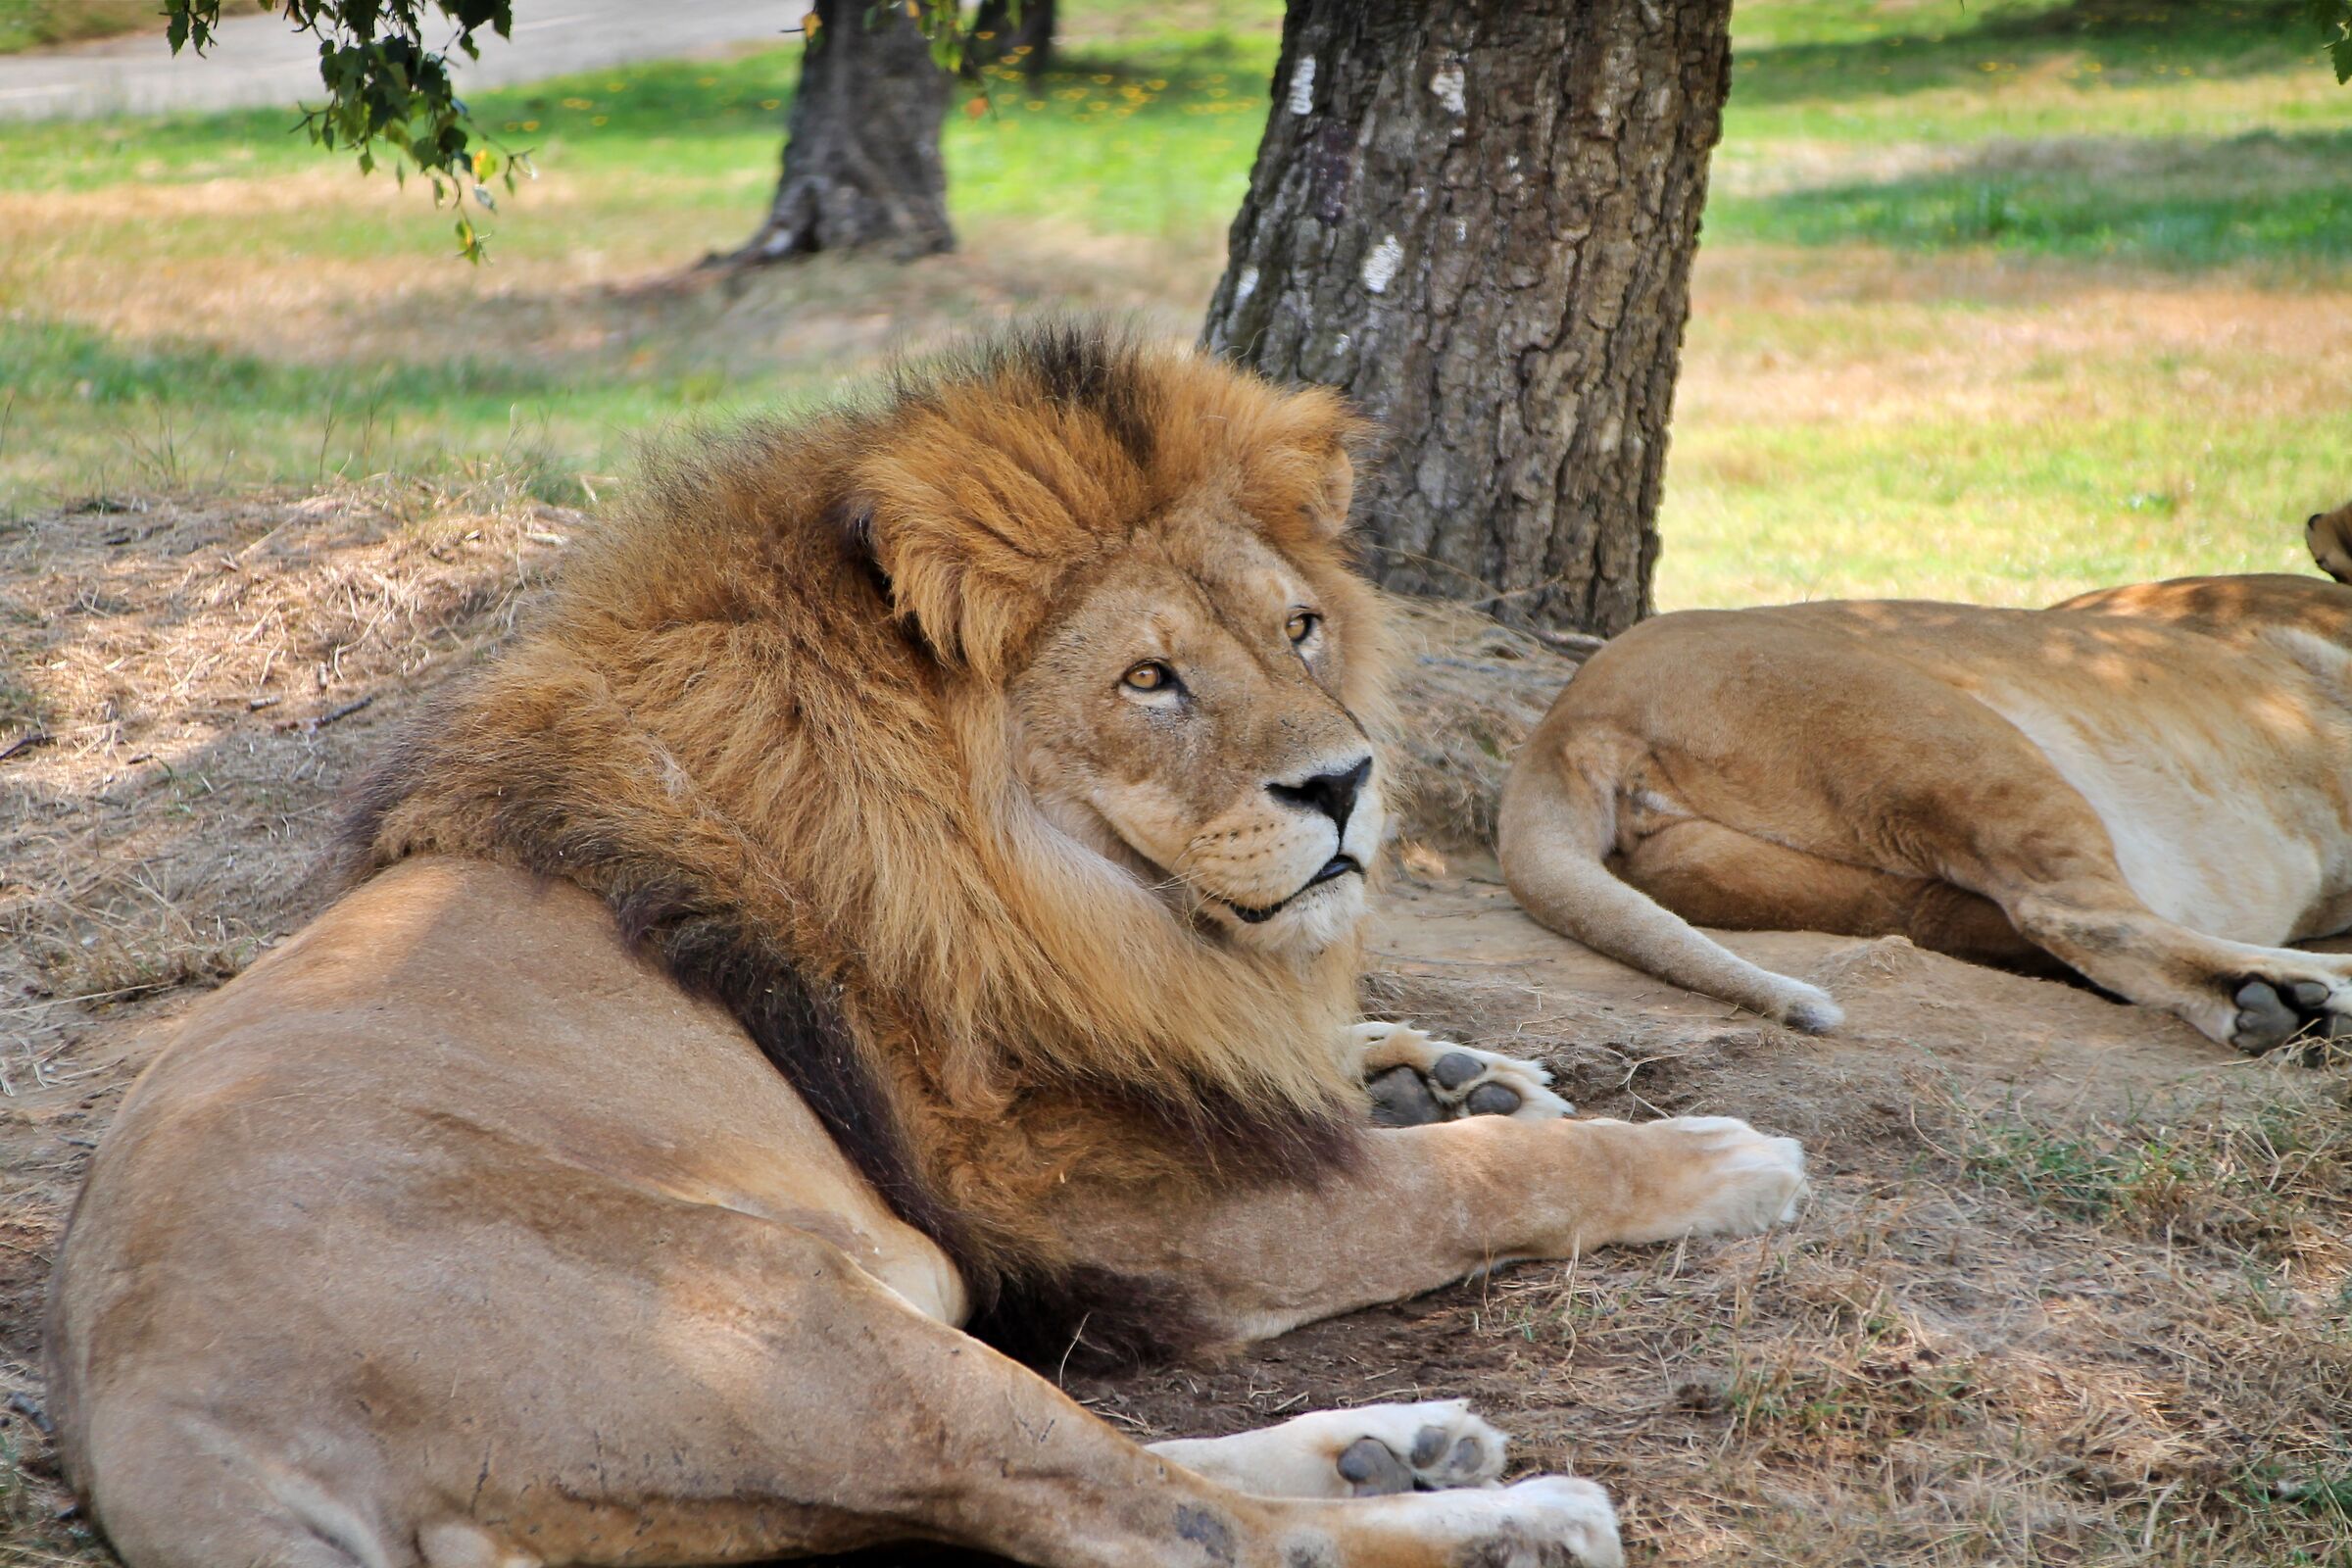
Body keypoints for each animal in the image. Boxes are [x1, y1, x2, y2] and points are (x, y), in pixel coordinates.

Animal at [46, 327, 1809, 1568]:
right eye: (1150, 679)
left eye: (1299, 629)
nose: (1346, 782)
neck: (1072, 899)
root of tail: (157, 1429)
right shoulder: (1149, 1218)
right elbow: (1481, 1184)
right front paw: (1716, 1157)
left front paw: (1453, 1070)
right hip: (782, 1323)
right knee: (1164, 1527)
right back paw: (1511, 1518)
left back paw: (1405, 1444)